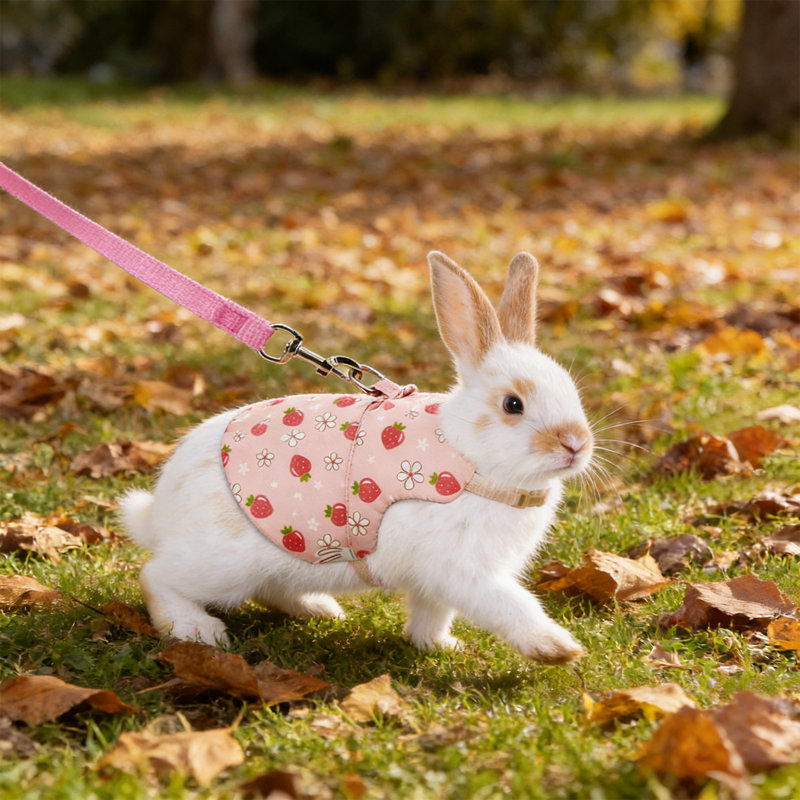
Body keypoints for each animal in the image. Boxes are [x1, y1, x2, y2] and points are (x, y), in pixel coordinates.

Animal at [119, 251, 594, 664]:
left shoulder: (436, 581)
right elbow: (510, 605)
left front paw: (438, 645)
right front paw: (557, 649)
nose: (576, 444)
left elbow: (431, 614)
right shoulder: (464, 571)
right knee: (155, 577)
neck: (472, 458)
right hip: (221, 565)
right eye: (513, 405)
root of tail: (159, 512)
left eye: (571, 388)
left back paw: (321, 609)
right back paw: (196, 629)